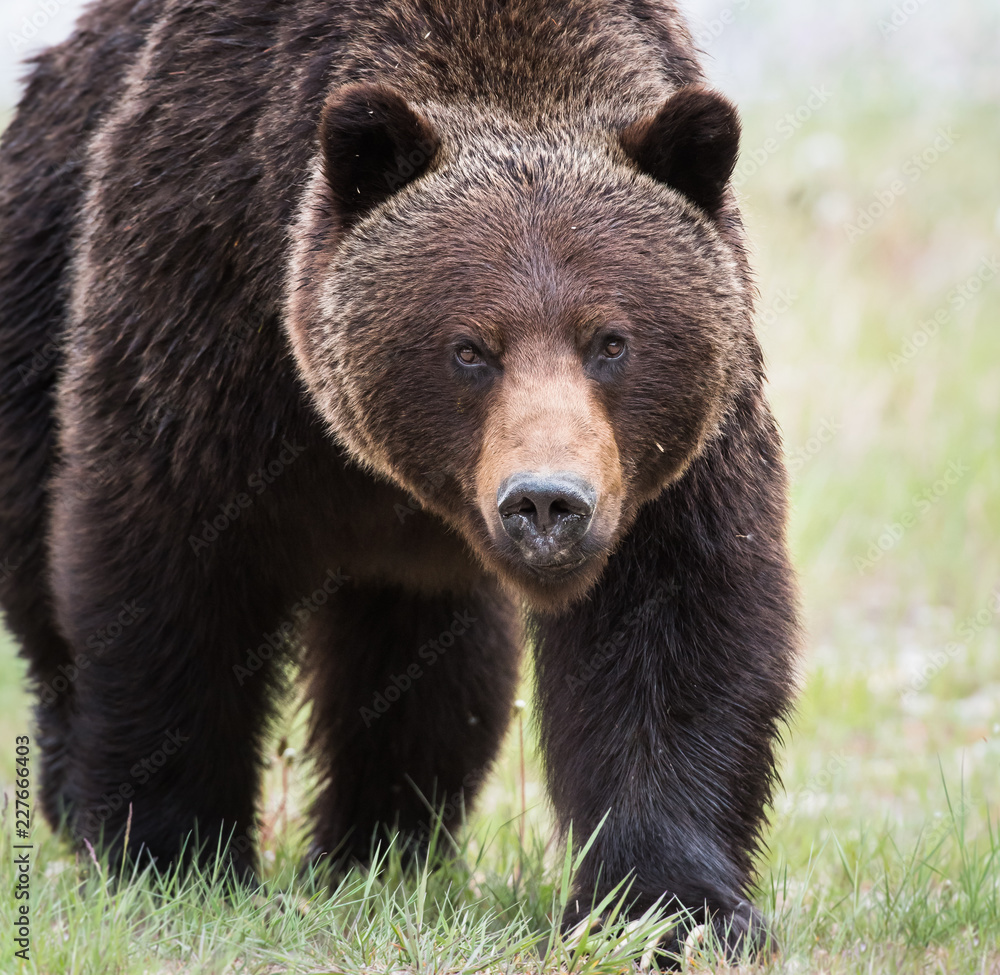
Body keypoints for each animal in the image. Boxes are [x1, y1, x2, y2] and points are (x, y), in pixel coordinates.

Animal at [0, 0, 798, 960]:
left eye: (612, 340)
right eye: (470, 347)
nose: (547, 503)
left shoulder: (670, 459)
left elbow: (672, 625)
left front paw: (676, 908)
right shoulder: (200, 308)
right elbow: (169, 578)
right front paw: (171, 854)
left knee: (425, 659)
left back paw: (379, 847)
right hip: (35, 293)